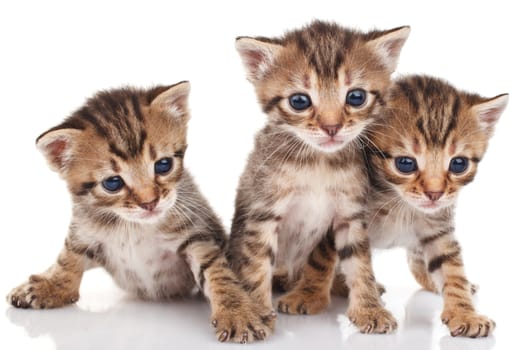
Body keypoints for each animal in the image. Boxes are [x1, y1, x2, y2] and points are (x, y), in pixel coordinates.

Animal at [7, 82, 272, 342]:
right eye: (112, 183)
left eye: (163, 165)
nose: (149, 202)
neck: (133, 227)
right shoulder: (85, 229)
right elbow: (68, 255)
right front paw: (52, 285)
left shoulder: (196, 232)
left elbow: (217, 271)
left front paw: (237, 311)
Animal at [230, 21, 408, 334]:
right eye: (299, 101)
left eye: (356, 97)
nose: (331, 127)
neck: (318, 164)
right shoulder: (264, 212)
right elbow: (257, 263)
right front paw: (257, 310)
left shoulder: (351, 214)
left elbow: (360, 261)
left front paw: (369, 309)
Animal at [298, 75, 506, 338]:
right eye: (405, 163)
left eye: (458, 164)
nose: (434, 194)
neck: (401, 204)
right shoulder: (341, 212)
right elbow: (322, 258)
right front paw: (309, 295)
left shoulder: (438, 226)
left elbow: (451, 268)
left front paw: (464, 312)